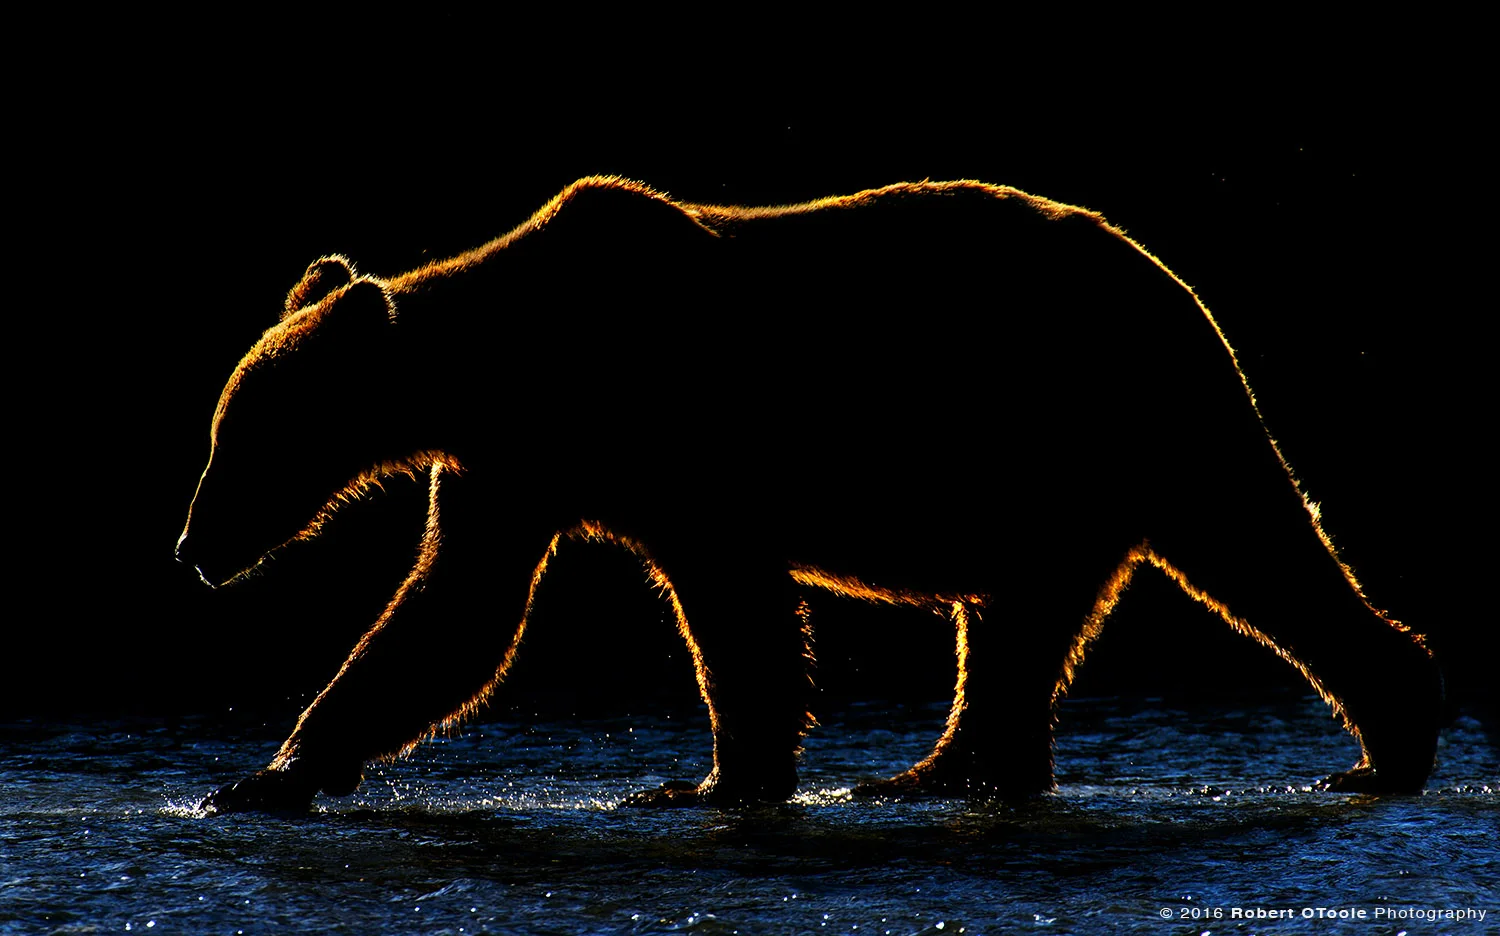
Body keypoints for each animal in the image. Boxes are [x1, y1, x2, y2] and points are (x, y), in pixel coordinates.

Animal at [175, 177, 1442, 813]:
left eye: (238, 436)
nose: (190, 544)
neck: (514, 361)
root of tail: (1177, 277)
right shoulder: (515, 469)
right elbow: (450, 614)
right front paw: (274, 772)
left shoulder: (671, 439)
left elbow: (733, 611)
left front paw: (710, 779)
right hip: (1053, 477)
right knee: (1020, 627)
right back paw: (940, 769)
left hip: (1123, 413)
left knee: (1254, 545)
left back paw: (1389, 739)